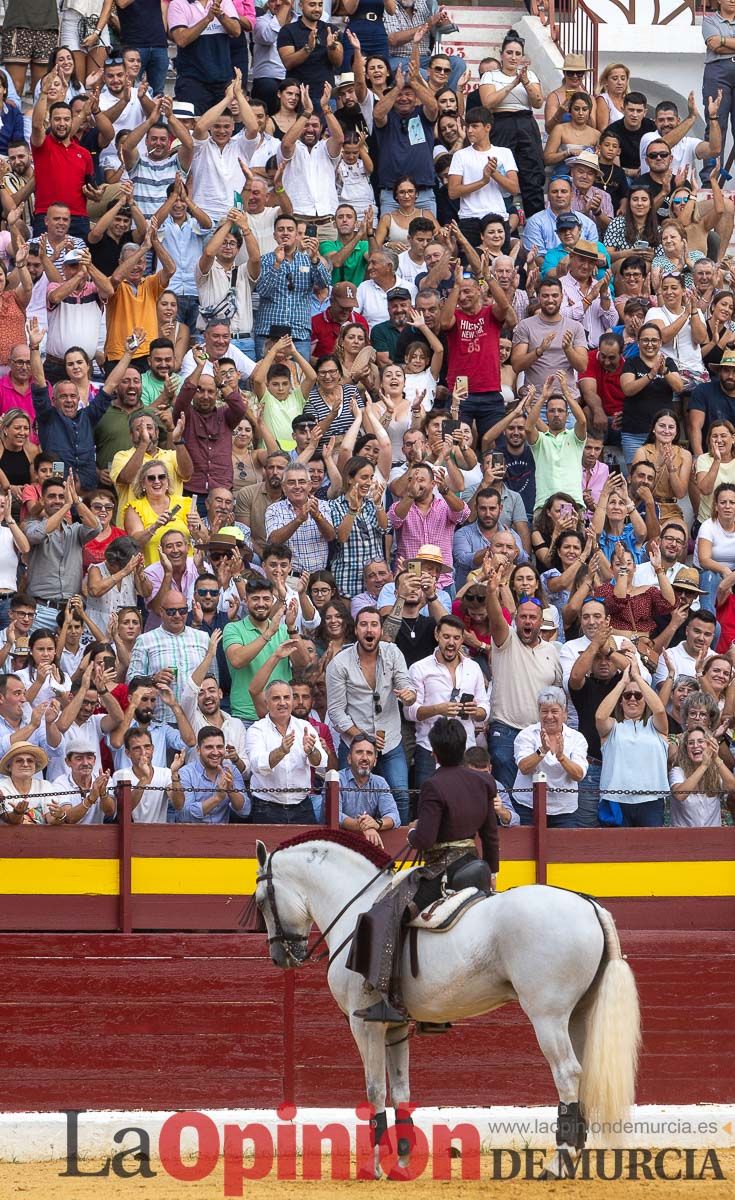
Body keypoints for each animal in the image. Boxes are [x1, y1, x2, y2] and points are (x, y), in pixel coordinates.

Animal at [255, 830, 638, 1176]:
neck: (355, 909)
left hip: (548, 1016)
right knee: (585, 1071)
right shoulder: (394, 1026)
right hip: (579, 1014)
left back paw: (558, 1164)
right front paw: (403, 1163)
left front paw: (373, 1166)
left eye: (260, 900)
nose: (280, 956)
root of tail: (588, 905)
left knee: (567, 1072)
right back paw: (576, 1158)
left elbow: (375, 1089)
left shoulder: (363, 1023)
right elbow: (401, 1089)